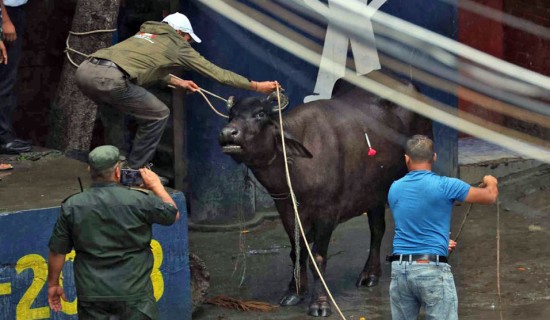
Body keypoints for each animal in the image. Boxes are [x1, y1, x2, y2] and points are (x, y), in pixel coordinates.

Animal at [218, 75, 434, 318]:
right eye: (231, 115)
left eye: (260, 114)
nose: (228, 133)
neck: (296, 167)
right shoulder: (286, 209)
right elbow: (298, 251)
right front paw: (294, 291)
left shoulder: (327, 213)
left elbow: (318, 259)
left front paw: (320, 303)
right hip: (375, 191)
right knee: (377, 229)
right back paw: (369, 274)